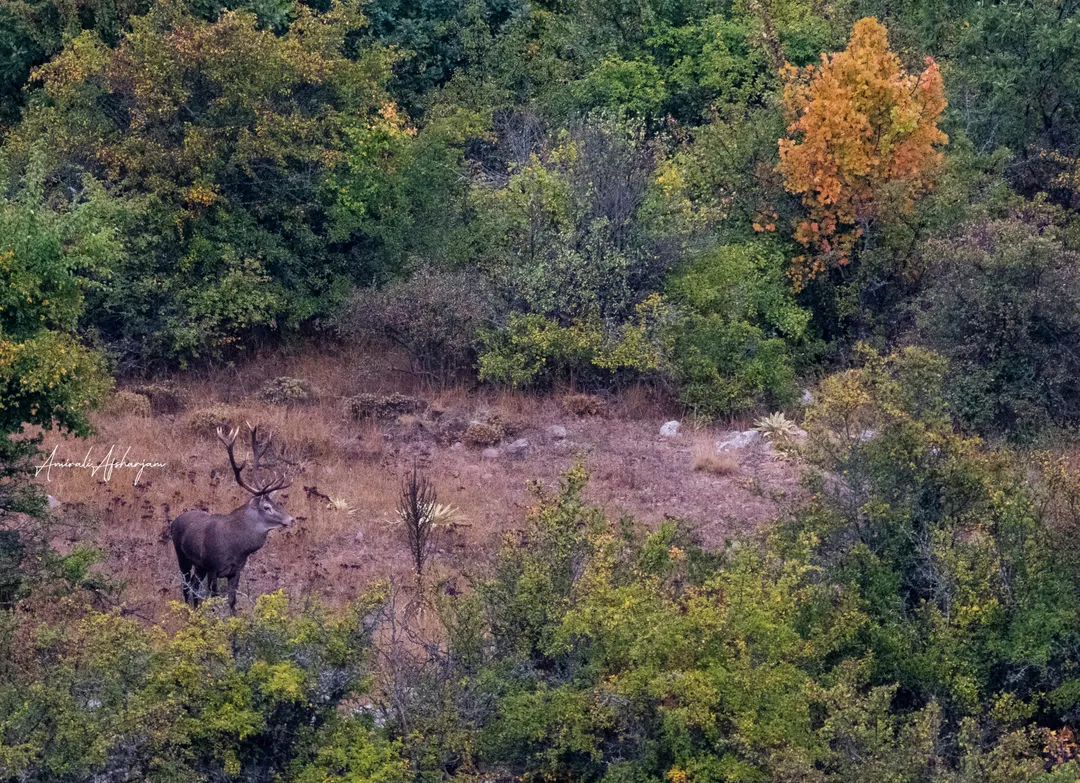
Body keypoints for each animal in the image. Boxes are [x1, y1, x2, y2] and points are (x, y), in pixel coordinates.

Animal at [170, 423, 294, 613]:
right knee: (186, 585)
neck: (237, 547)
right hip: (182, 555)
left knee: (194, 585)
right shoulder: (213, 567)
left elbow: (232, 601)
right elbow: (214, 597)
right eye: (267, 507)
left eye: (277, 503)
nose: (291, 519)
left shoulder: (236, 571)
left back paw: (196, 610)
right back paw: (187, 612)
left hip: (199, 566)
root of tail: (174, 521)